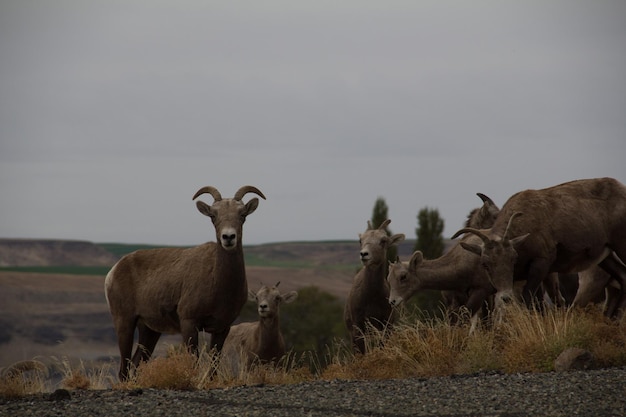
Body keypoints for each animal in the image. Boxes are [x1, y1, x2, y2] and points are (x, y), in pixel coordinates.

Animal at [104, 184, 264, 378]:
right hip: (124, 323)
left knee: (135, 364)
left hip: (150, 331)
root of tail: (113, 271)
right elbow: (194, 362)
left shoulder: (222, 328)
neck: (219, 283)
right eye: (213, 216)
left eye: (242, 215)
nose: (228, 237)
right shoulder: (189, 324)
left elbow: (214, 366)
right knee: (123, 370)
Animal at [342, 219, 404, 352]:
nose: (364, 254)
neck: (372, 298)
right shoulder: (358, 327)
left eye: (383, 240)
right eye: (360, 240)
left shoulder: (386, 324)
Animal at [454, 176, 624, 308]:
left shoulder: (541, 266)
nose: (505, 297)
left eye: (513, 259)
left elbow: (535, 300)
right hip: (605, 257)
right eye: (485, 263)